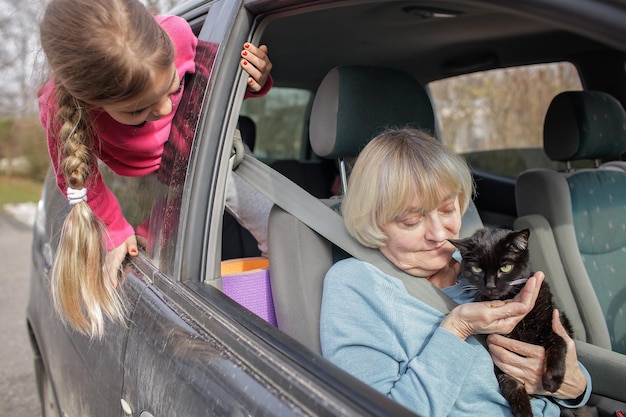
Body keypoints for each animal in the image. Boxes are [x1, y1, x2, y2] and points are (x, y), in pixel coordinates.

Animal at [446, 228, 572, 416]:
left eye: (505, 268)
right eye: (477, 269)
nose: (490, 286)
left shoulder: (554, 320)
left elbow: (559, 341)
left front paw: (552, 381)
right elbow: (513, 388)